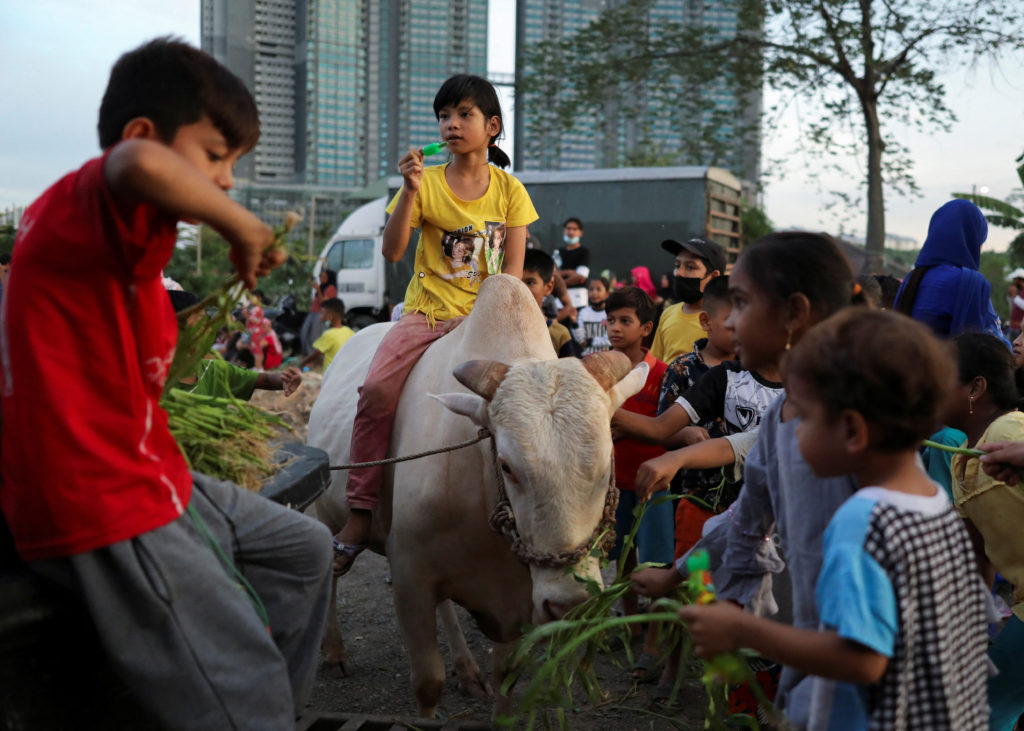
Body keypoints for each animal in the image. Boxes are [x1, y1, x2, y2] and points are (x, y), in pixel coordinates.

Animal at [307, 272, 643, 712]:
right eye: (507, 464)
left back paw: (467, 669)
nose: (569, 603)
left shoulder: (517, 600)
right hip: (327, 516)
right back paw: (332, 651)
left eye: (607, 464)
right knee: (330, 571)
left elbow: (507, 677)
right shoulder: (411, 576)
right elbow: (427, 683)